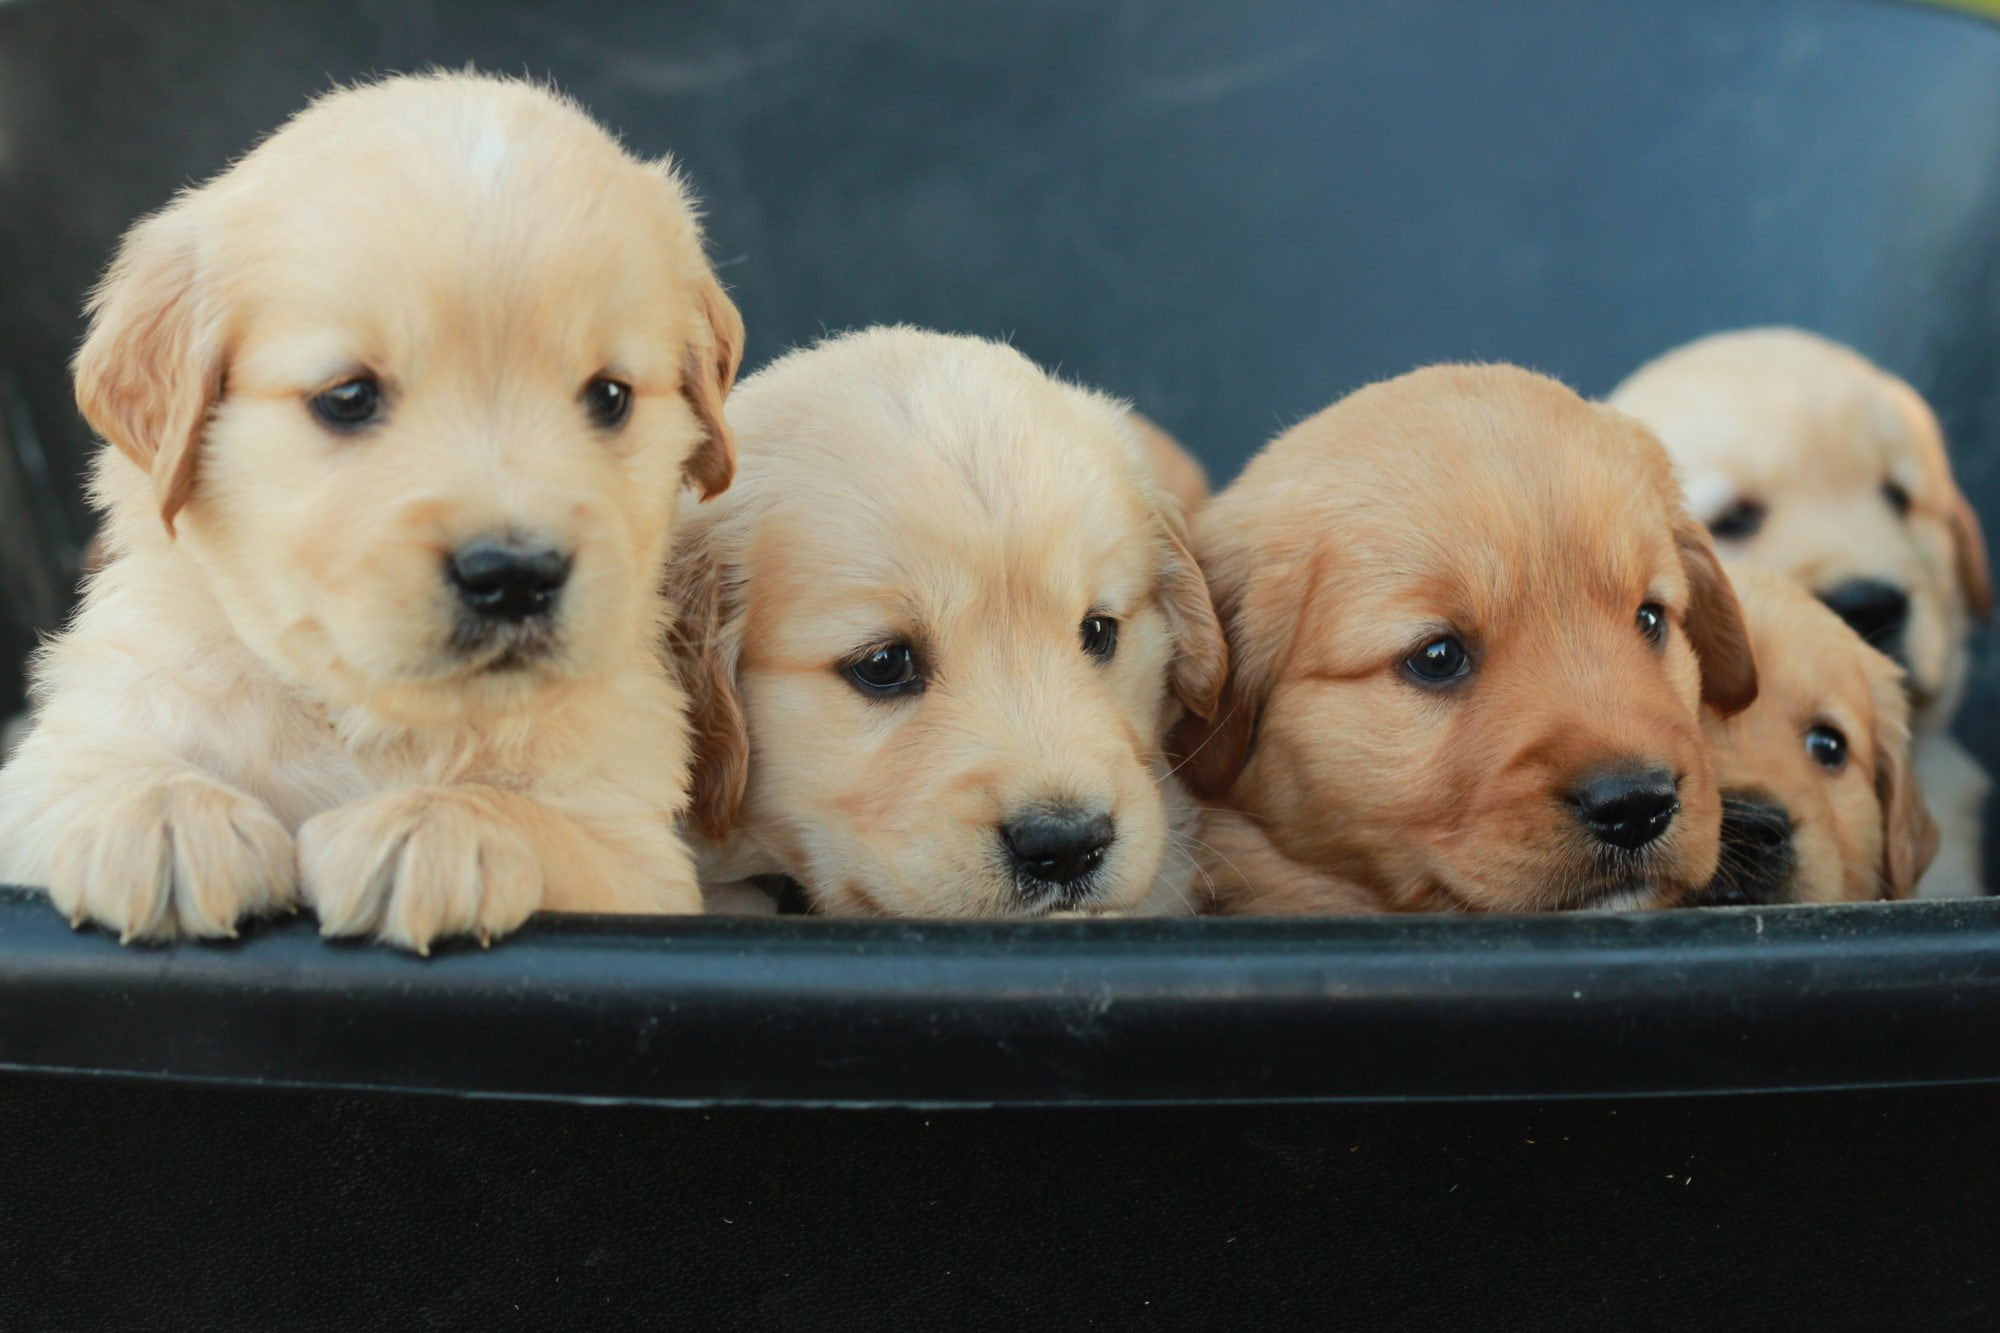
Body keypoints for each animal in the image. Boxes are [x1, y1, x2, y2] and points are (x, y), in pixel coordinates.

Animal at [0, 72, 744, 944]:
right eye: (348, 397)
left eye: (611, 396)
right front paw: (162, 812)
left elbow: (548, 829)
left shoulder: (641, 865)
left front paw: (434, 824)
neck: (370, 720)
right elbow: (94, 770)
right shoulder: (66, 751)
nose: (515, 576)